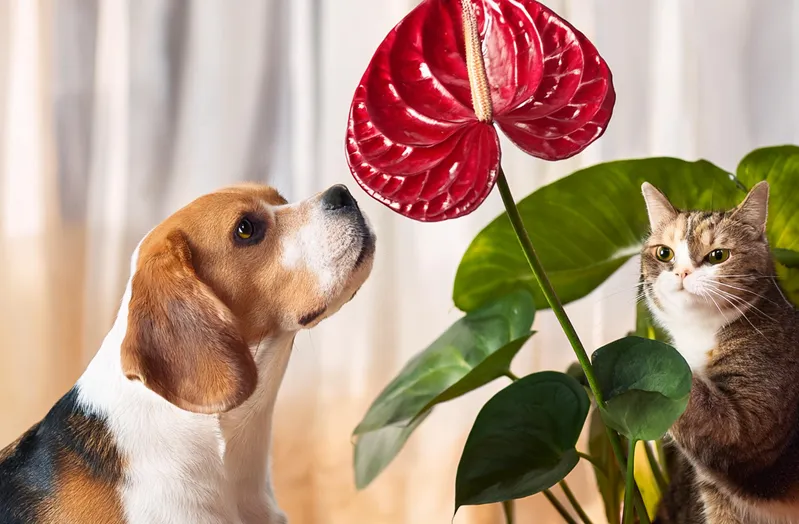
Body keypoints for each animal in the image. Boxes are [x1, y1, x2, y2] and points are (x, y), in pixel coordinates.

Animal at [640, 181, 799, 524]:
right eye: (664, 252)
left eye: (718, 255)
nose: (683, 272)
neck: (701, 333)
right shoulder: (715, 491)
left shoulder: (752, 424)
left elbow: (719, 423)